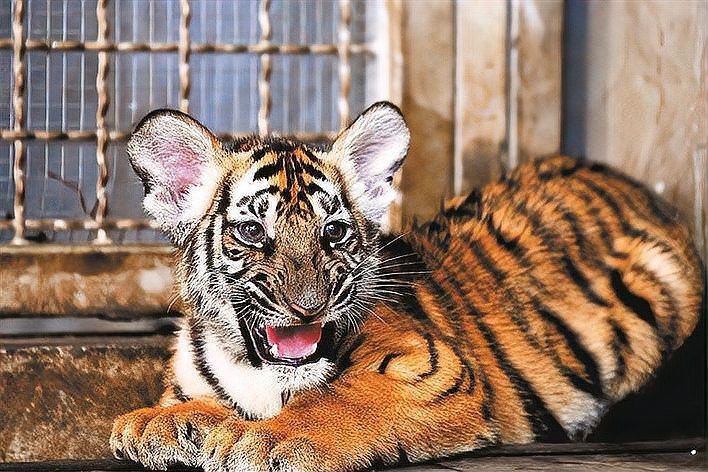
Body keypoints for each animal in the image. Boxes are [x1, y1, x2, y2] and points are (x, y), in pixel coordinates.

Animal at [110, 102, 704, 472]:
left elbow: (342, 399)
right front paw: (156, 424)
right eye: (253, 232)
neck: (254, 369)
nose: (309, 307)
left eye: (334, 232)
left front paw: (264, 439)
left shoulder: (435, 370)